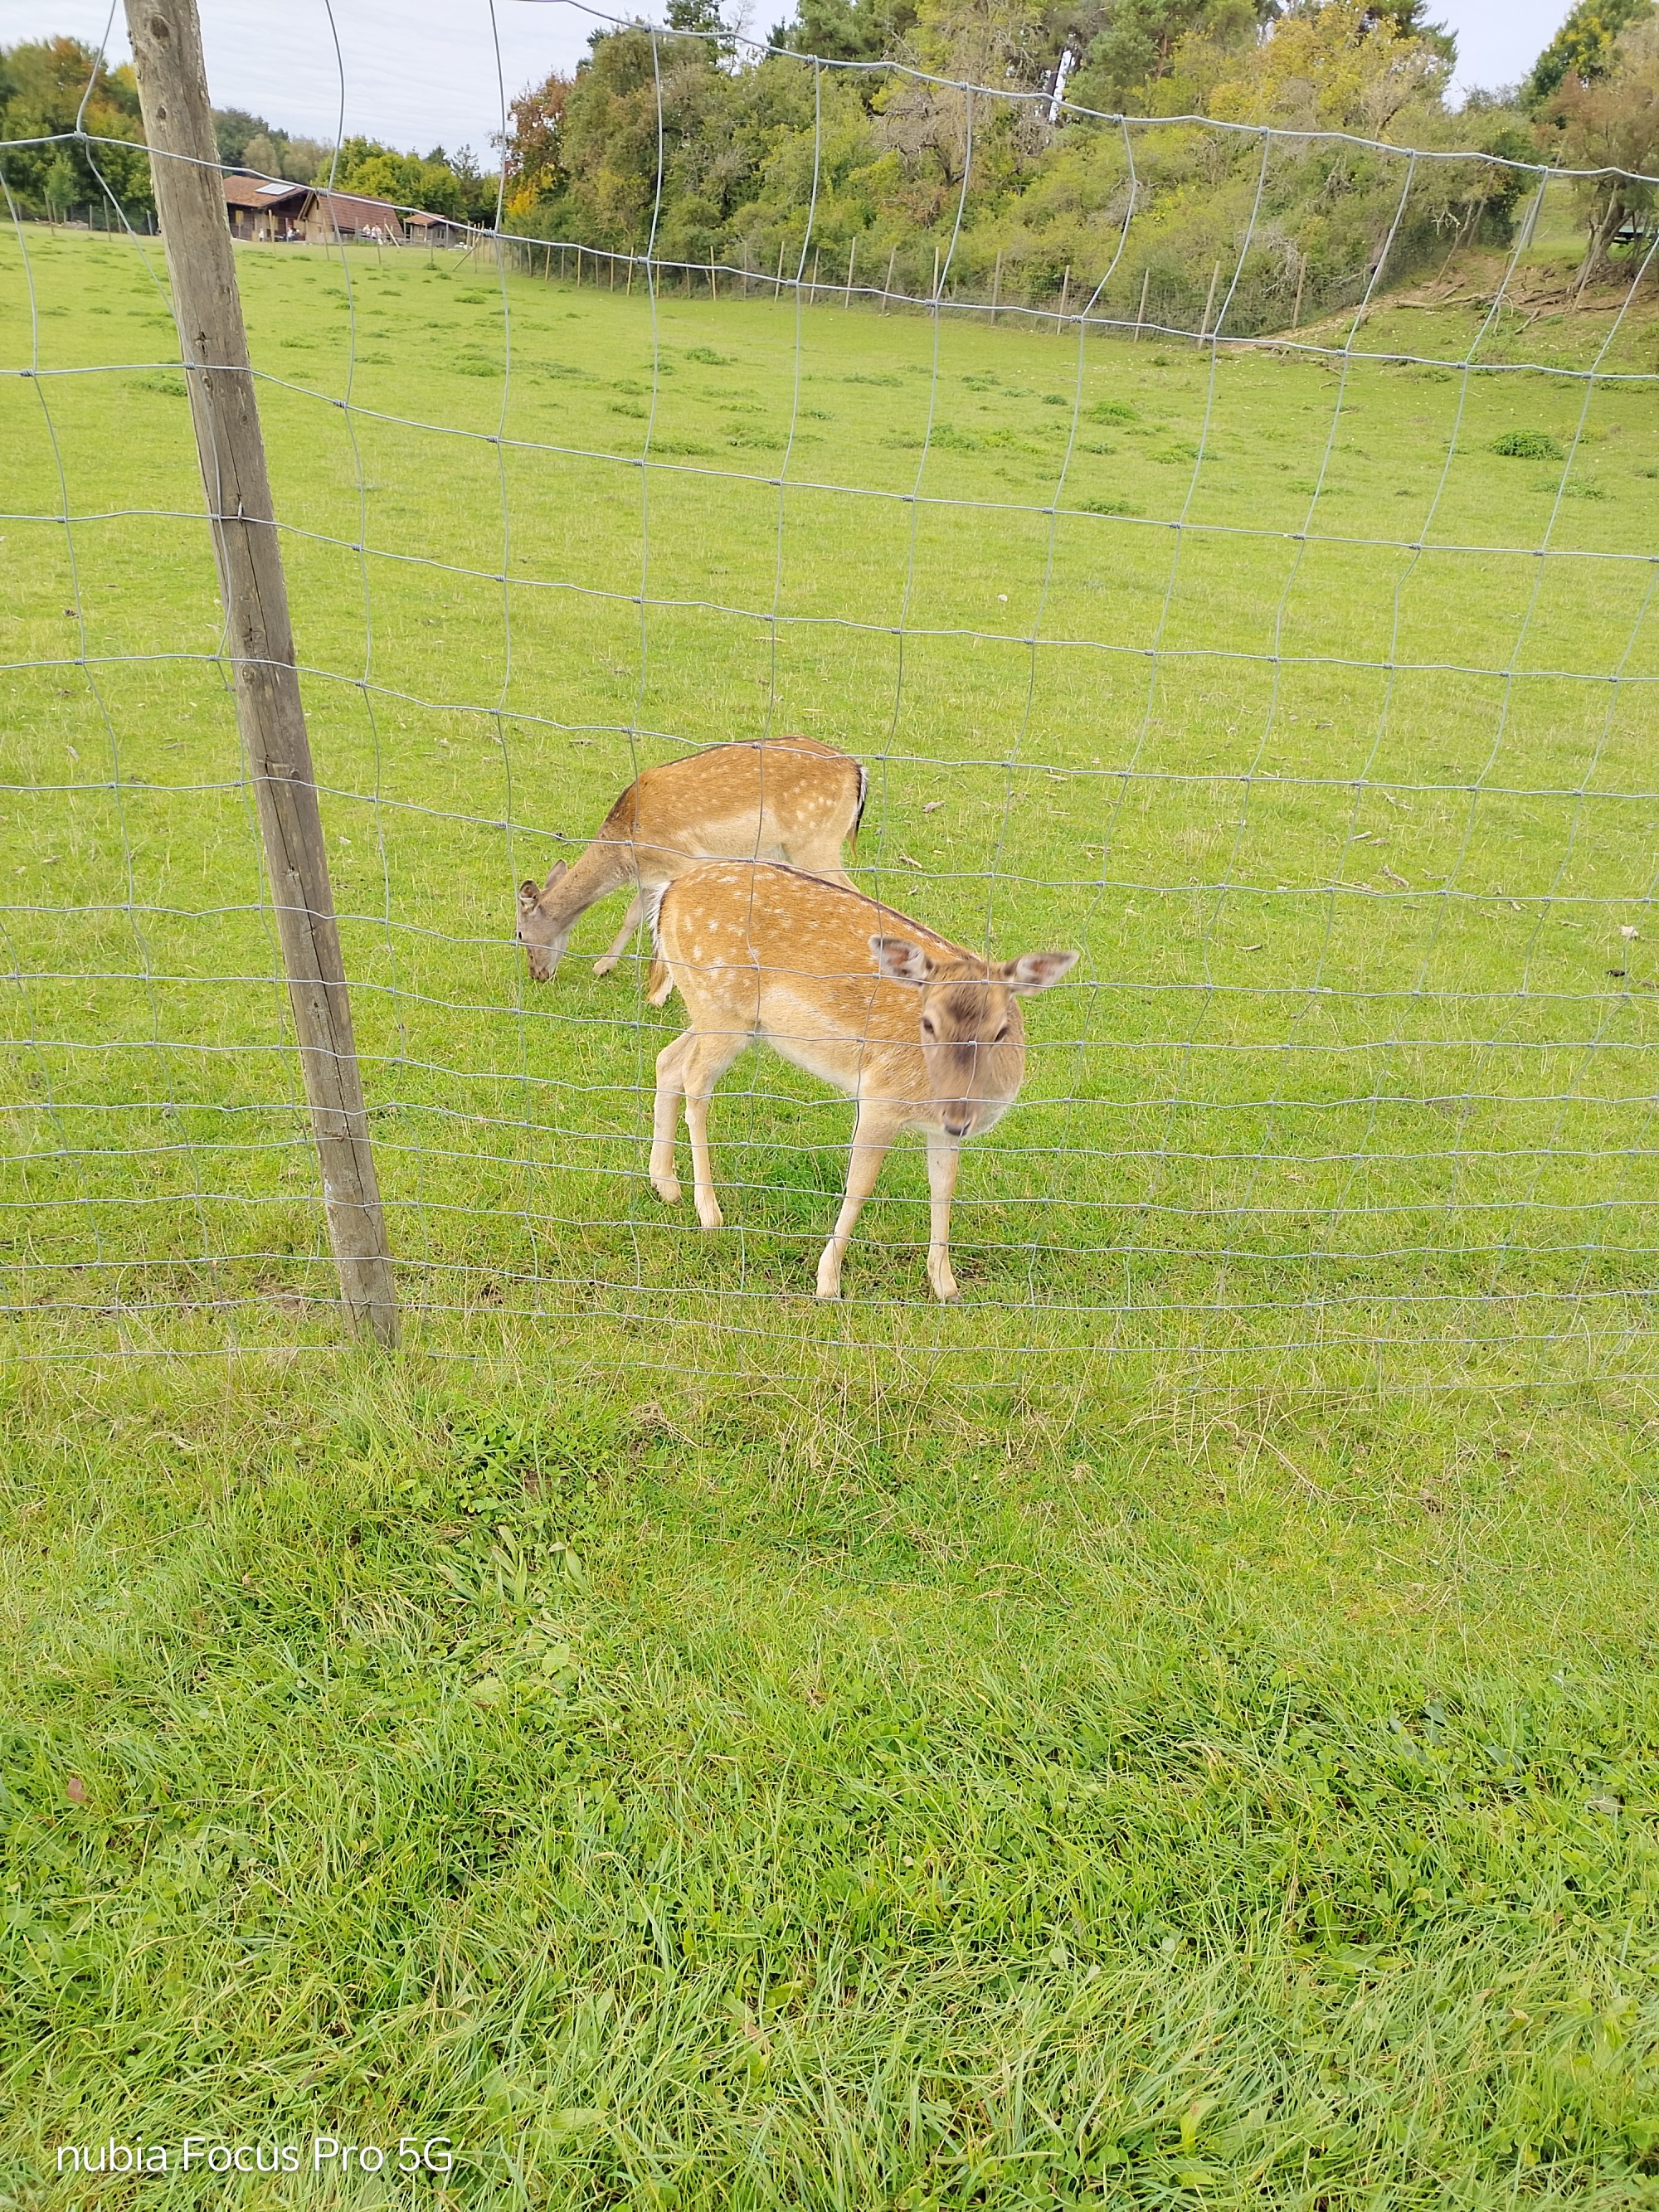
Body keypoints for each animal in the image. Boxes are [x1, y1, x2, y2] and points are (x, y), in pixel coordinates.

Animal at [516, 738, 865, 984]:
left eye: (519, 934)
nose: (537, 975)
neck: (626, 849)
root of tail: (858, 771)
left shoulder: (685, 860)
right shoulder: (650, 875)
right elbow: (633, 916)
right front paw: (602, 966)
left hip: (815, 842)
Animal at [647, 862, 1077, 1301]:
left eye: (1000, 1030)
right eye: (928, 1023)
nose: (959, 1116)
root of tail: (668, 893)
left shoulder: (941, 1127)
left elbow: (944, 1186)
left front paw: (946, 1286)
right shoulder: (880, 1099)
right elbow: (860, 1184)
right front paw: (828, 1282)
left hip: (724, 1017)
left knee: (668, 1060)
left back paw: (666, 1184)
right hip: (720, 1008)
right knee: (695, 1079)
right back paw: (709, 1211)